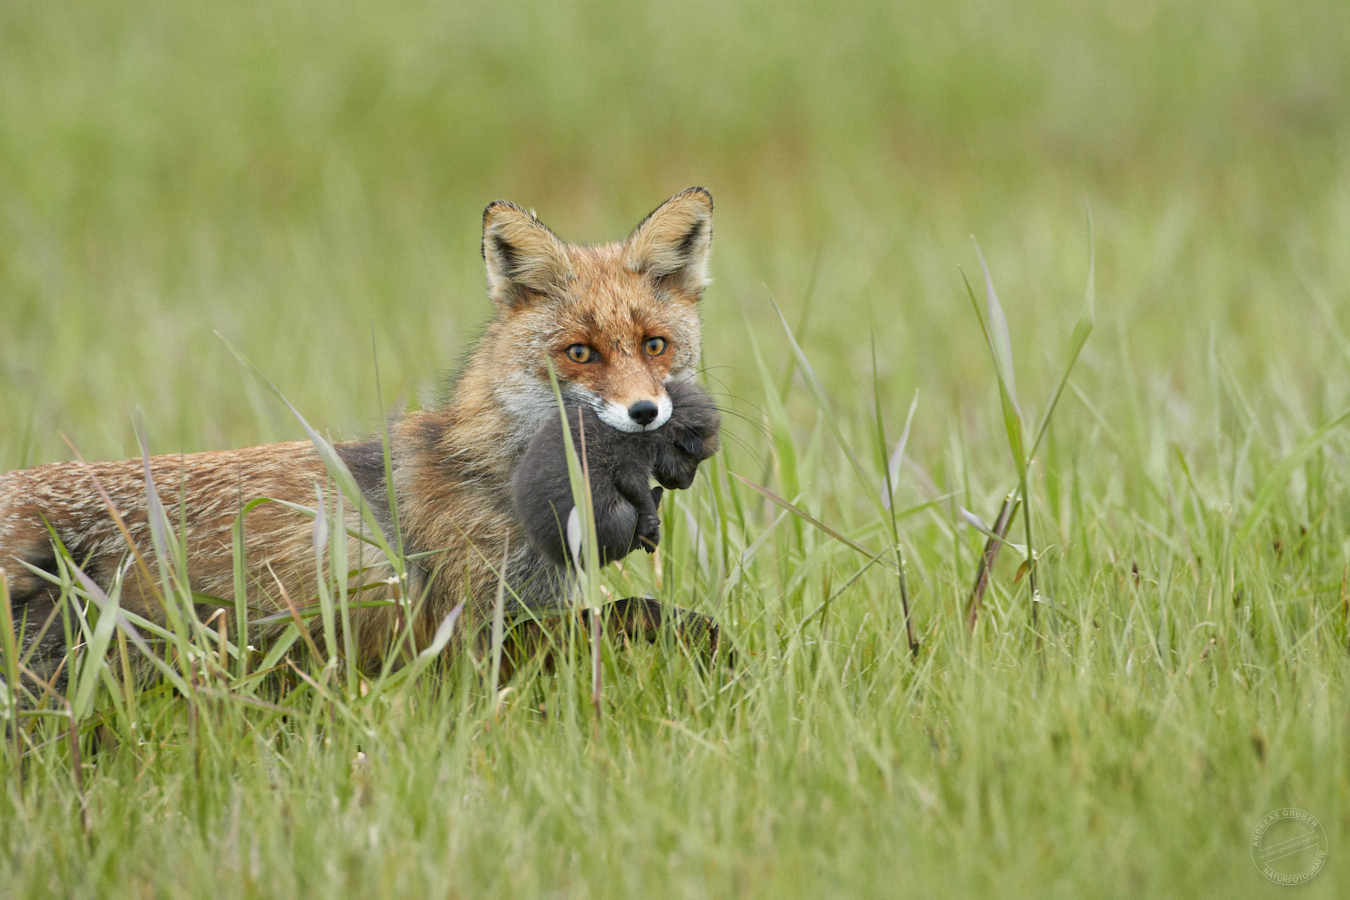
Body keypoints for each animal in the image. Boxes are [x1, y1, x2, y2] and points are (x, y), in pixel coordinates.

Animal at [2, 186, 729, 685]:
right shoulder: (470, 638)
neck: (488, 473)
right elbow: (647, 614)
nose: (645, 413)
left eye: (655, 345)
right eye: (581, 354)